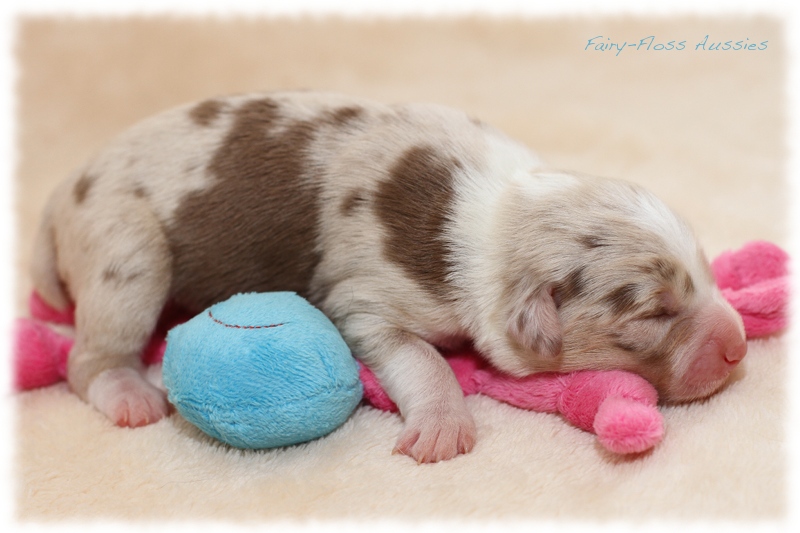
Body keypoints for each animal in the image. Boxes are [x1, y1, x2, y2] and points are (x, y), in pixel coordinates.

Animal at [29, 91, 744, 462]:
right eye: (654, 313)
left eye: (704, 276)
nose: (738, 346)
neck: (497, 216)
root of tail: (61, 193)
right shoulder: (364, 300)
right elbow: (420, 358)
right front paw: (443, 427)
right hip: (126, 250)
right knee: (88, 360)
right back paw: (129, 393)